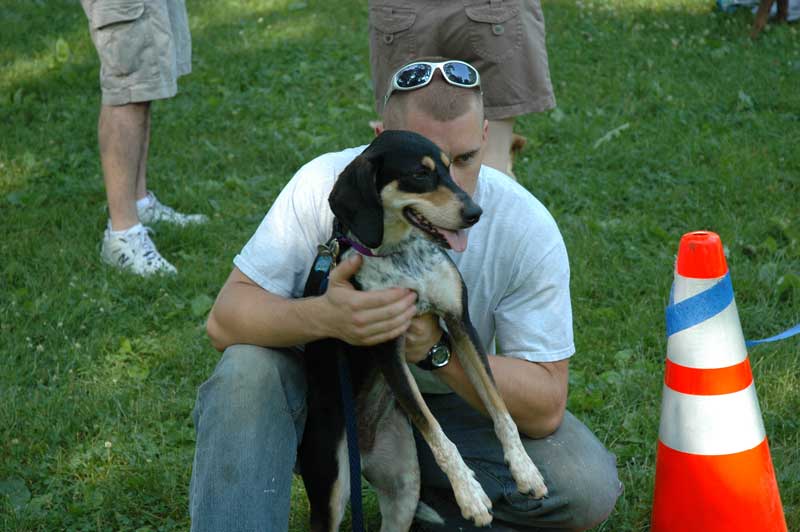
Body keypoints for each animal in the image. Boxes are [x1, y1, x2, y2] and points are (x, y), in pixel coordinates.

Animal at [296, 130, 548, 532]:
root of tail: (362, 450)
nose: (474, 213)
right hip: (330, 489)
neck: (402, 257)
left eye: (450, 167)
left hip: (403, 489)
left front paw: (524, 469)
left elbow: (500, 408)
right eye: (419, 174)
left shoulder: (461, 323)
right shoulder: (387, 347)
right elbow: (436, 431)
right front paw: (470, 496)